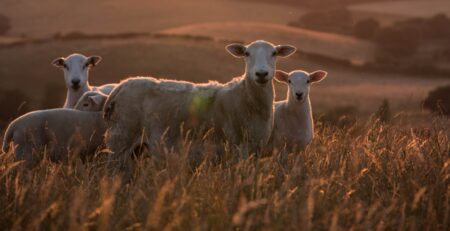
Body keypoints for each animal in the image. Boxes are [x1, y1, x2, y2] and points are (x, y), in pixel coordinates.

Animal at [103, 39, 298, 160]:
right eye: (247, 54)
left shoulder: (255, 149)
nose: (261, 74)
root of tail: (120, 86)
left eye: (274, 53)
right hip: (121, 138)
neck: (248, 100)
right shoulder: (236, 147)